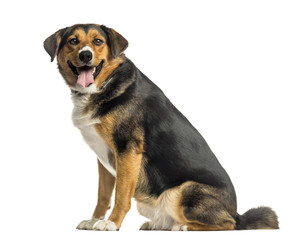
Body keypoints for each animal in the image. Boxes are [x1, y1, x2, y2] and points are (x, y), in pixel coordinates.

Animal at [44, 23, 280, 231]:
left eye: (98, 41)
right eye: (73, 41)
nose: (85, 55)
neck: (105, 84)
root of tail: (237, 213)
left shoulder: (127, 151)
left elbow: (121, 195)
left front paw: (112, 223)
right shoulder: (104, 158)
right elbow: (103, 195)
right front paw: (94, 220)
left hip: (184, 190)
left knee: (227, 224)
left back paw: (183, 226)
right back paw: (158, 224)